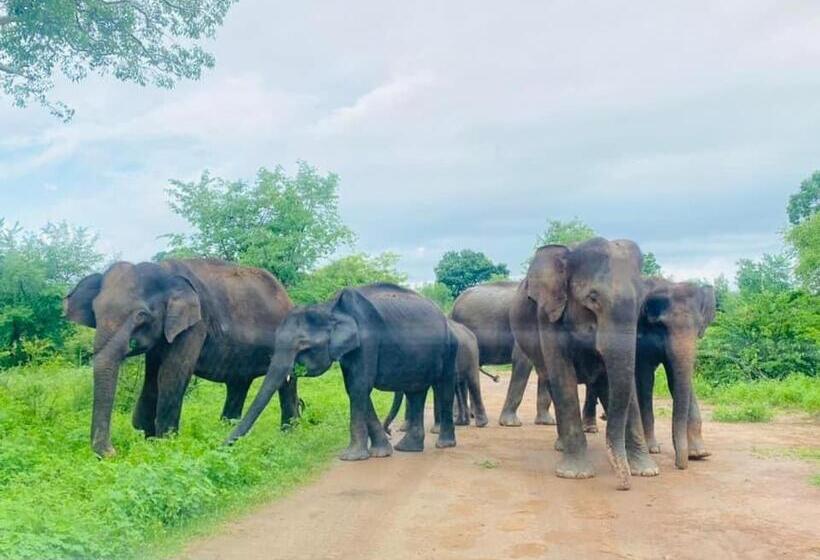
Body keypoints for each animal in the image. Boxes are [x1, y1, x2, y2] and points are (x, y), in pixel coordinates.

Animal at [64, 259, 300, 457]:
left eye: (141, 315)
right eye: (95, 311)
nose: (112, 453)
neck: (164, 271)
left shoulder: (195, 326)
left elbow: (171, 374)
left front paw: (165, 446)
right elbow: (152, 379)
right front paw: (148, 439)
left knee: (286, 382)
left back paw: (288, 435)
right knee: (238, 384)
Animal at [225, 283, 459, 459]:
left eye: (303, 347)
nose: (223, 445)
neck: (330, 309)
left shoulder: (367, 341)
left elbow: (359, 386)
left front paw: (351, 457)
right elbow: (354, 388)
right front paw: (380, 453)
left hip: (450, 348)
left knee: (444, 387)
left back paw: (444, 445)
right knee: (416, 392)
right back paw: (408, 448)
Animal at [511, 238, 658, 490]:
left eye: (641, 302)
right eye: (593, 298)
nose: (623, 484)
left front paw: (647, 471)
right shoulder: (548, 315)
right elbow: (563, 377)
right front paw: (575, 474)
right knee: (553, 382)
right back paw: (561, 447)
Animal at [582, 279, 716, 469]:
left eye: (699, 326)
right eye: (662, 326)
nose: (680, 465)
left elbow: (676, 378)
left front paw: (699, 454)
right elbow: (645, 379)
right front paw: (652, 448)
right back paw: (592, 427)